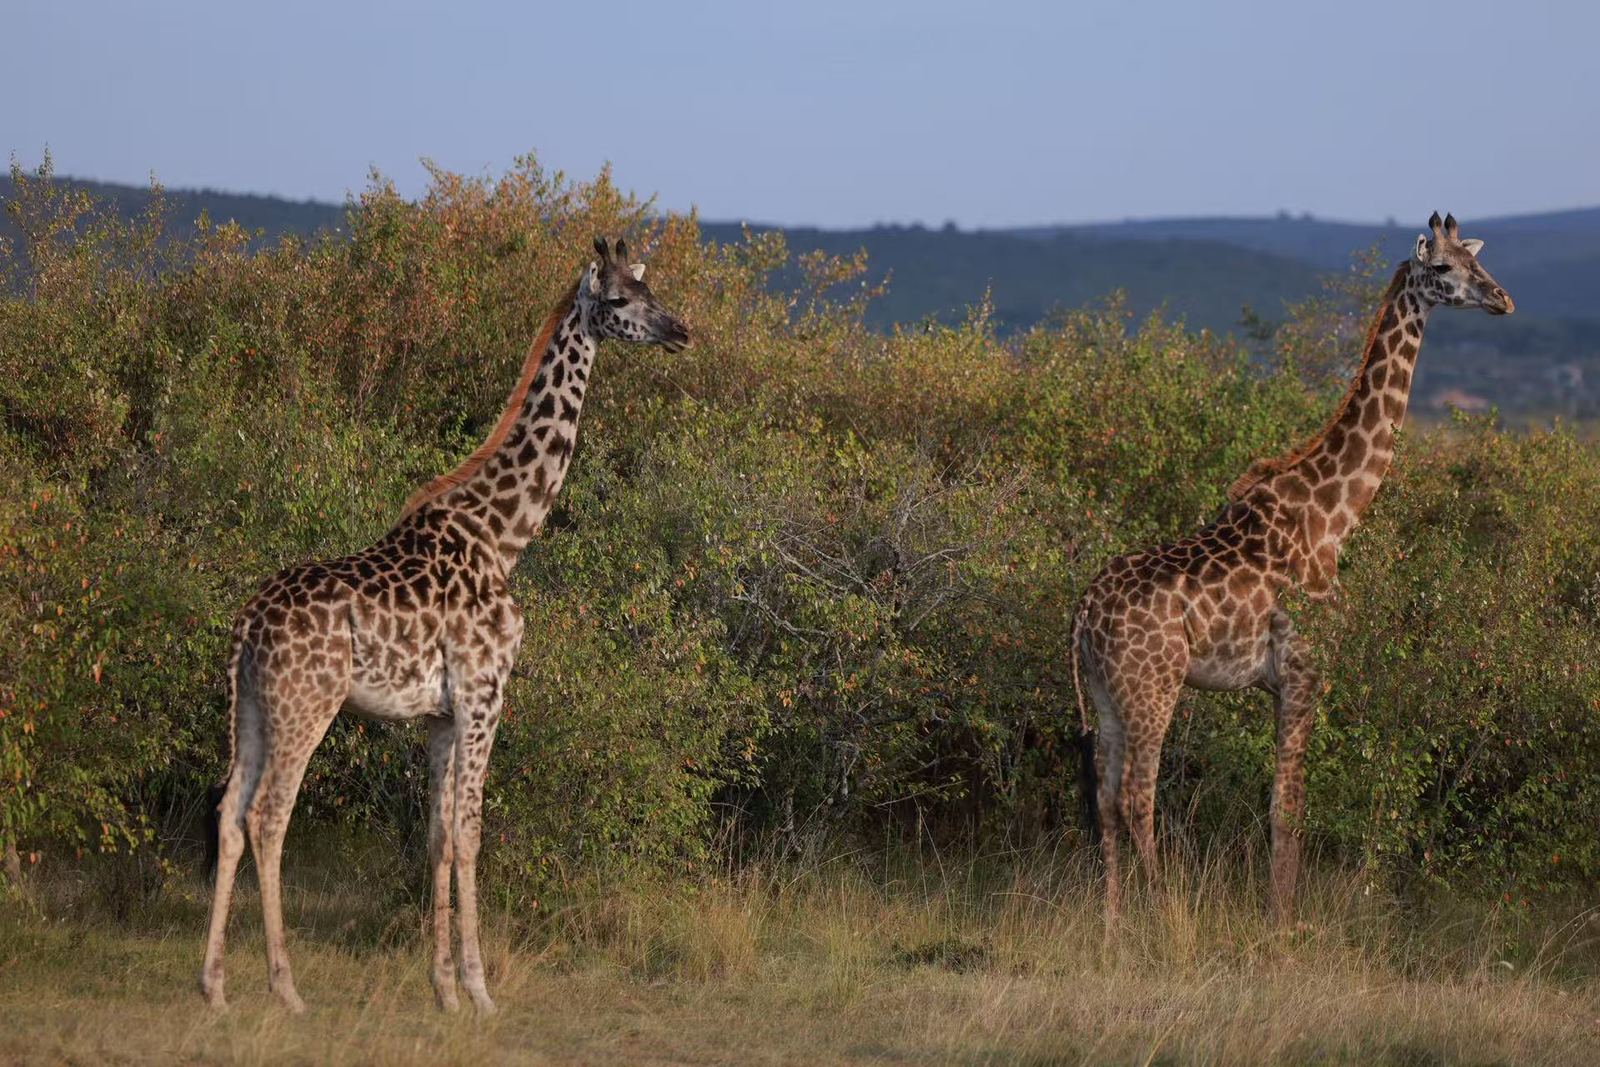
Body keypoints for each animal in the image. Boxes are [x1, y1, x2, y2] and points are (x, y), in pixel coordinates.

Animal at [199, 237, 689, 1014]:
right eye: (617, 300)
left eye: (651, 289)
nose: (680, 330)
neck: (504, 535)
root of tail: (248, 623)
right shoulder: (487, 694)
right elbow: (470, 834)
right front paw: (481, 991)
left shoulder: (438, 714)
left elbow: (435, 836)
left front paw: (444, 990)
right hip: (307, 704)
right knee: (268, 815)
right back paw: (287, 990)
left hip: (249, 704)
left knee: (227, 814)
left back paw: (214, 988)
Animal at [1071, 213, 1512, 931]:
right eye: (1445, 269)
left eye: (1477, 262)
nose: (1502, 299)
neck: (1333, 515)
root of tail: (1083, 612)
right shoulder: (1307, 667)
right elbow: (1290, 803)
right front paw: (1284, 922)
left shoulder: (1274, 683)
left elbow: (1277, 800)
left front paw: (1276, 911)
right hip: (1152, 687)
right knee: (1137, 794)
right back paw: (1165, 915)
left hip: (1107, 691)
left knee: (1106, 794)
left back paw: (1112, 924)